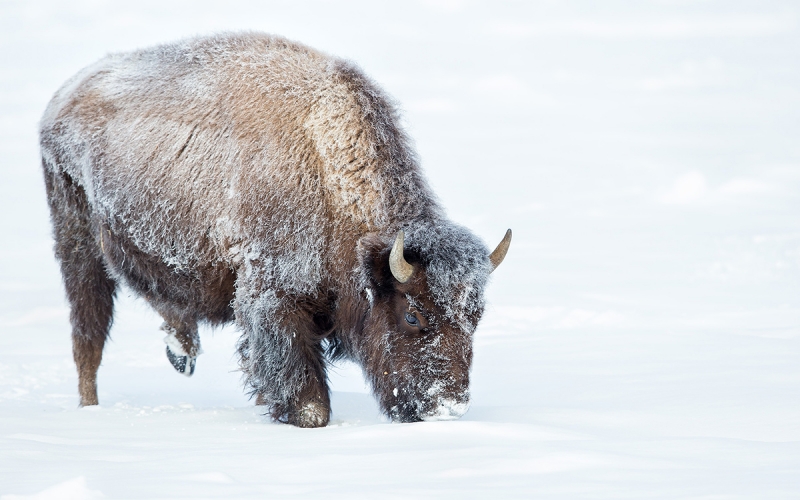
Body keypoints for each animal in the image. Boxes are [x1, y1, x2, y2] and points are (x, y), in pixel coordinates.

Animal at [37, 33, 510, 428]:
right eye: (413, 315)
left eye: (476, 316)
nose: (445, 409)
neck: (324, 166)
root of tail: (62, 100)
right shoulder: (273, 299)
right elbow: (309, 404)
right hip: (79, 247)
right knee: (88, 340)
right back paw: (91, 409)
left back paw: (181, 352)